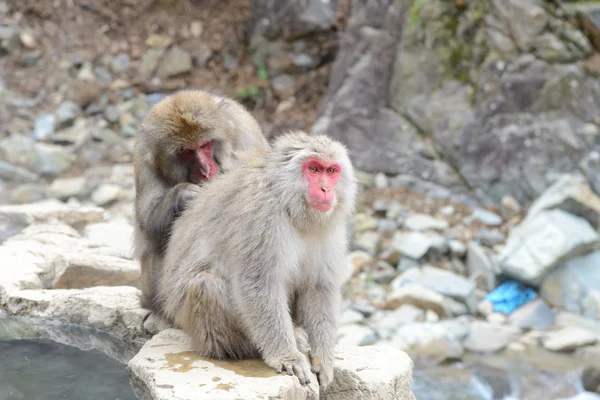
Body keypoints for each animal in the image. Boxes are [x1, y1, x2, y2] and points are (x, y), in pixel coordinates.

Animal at [134, 89, 272, 308]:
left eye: (205, 145)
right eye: (186, 152)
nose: (206, 170)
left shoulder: (245, 129)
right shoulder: (143, 155)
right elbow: (147, 224)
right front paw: (183, 195)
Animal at [155, 130, 358, 390]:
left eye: (331, 171)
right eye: (313, 169)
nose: (324, 189)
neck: (289, 204)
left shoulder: (330, 228)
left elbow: (318, 287)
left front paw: (323, 361)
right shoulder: (261, 216)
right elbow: (258, 283)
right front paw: (287, 356)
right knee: (206, 285)